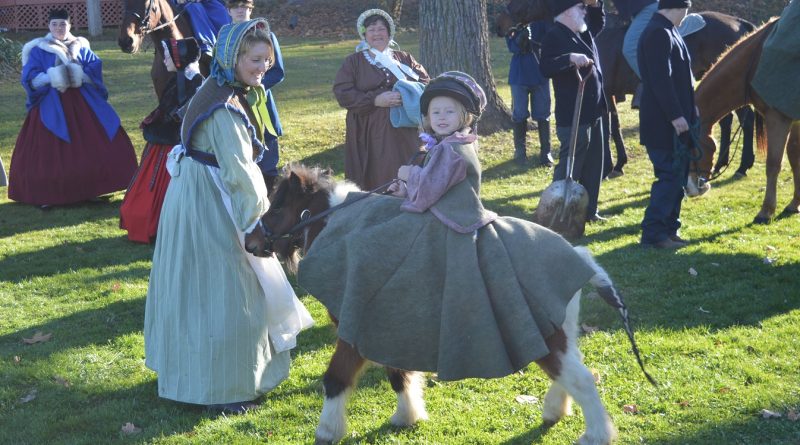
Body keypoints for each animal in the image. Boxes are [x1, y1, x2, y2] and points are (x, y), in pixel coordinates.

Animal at [260, 164, 648, 444]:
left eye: (277, 206)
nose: (251, 240)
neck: (343, 230)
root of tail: (578, 257)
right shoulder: (384, 329)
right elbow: (398, 374)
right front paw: (407, 416)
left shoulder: (355, 332)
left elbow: (336, 378)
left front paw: (327, 430)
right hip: (558, 333)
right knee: (571, 374)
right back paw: (555, 410)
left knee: (581, 379)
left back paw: (596, 434)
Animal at [500, 2, 756, 179]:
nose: (499, 22)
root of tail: (739, 22)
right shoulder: (609, 94)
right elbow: (614, 126)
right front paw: (619, 163)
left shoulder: (605, 92)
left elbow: (609, 127)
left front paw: (610, 165)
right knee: (727, 120)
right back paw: (723, 162)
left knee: (746, 118)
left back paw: (742, 165)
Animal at [688, 19, 800, 224]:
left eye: (691, 148)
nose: (689, 190)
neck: (757, 61)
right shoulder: (794, 118)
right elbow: (794, 157)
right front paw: (795, 204)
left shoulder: (777, 119)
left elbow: (773, 164)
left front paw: (766, 211)